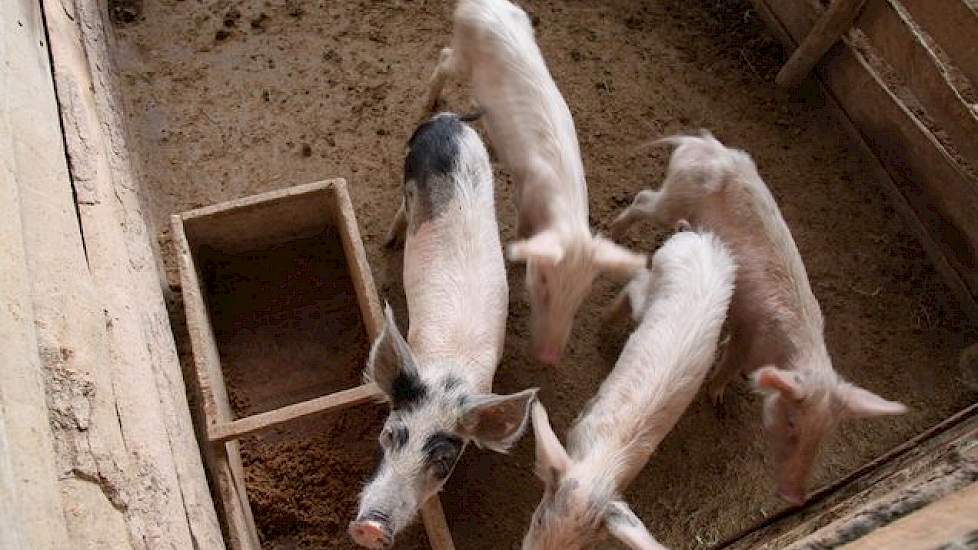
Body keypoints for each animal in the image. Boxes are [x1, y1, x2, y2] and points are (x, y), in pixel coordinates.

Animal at [348, 113, 532, 550]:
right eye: (389, 433)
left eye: (444, 461)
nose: (370, 528)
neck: (448, 373)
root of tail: (448, 119)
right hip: (407, 171)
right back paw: (389, 240)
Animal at [422, 0, 644, 366]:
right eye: (541, 282)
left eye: (582, 294)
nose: (550, 356)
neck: (561, 215)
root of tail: (482, 4)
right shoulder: (524, 195)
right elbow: (521, 229)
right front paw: (515, 255)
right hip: (462, 53)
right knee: (443, 57)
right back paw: (428, 103)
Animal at [520, 231, 732, 548]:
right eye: (538, 519)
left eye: (580, 547)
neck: (599, 466)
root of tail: (704, 239)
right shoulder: (582, 421)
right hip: (660, 268)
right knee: (637, 284)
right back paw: (606, 319)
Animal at [608, 133, 904, 504]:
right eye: (791, 423)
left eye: (825, 435)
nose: (795, 497)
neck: (783, 353)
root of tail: (703, 142)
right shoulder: (745, 333)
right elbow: (728, 364)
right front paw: (717, 398)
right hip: (673, 196)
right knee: (644, 199)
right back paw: (613, 232)